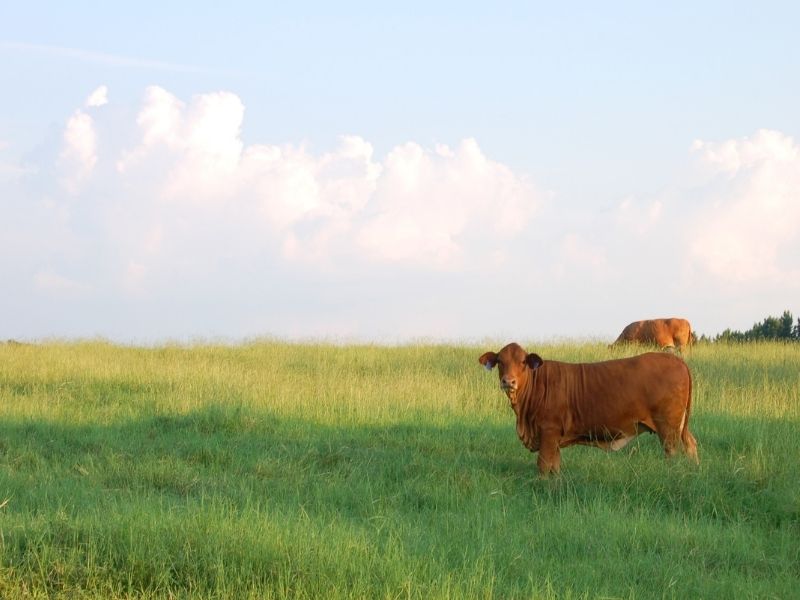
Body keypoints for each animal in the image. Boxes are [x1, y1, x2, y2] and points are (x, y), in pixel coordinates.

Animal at [479, 343, 698, 475]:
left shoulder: (548, 432)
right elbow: (555, 468)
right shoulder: (554, 439)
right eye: (500, 362)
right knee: (691, 445)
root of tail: (676, 360)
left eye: (523, 362)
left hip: (668, 427)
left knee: (672, 452)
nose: (509, 381)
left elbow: (544, 466)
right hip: (679, 426)